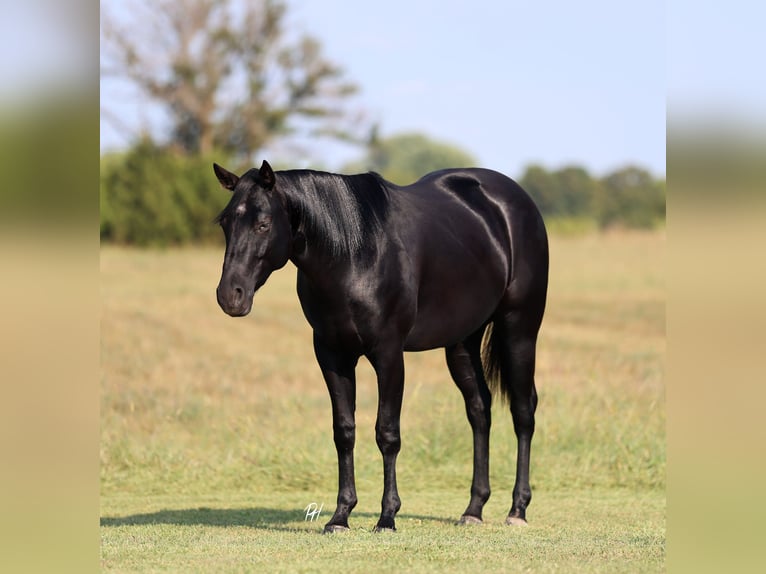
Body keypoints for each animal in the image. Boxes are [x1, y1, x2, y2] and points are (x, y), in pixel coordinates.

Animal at [213, 160, 548, 532]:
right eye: (225, 222)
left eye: (263, 223)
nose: (230, 296)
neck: (354, 254)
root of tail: (515, 201)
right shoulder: (332, 355)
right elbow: (344, 432)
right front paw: (340, 516)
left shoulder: (388, 355)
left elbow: (387, 433)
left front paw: (387, 516)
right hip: (462, 342)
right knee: (479, 410)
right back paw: (473, 508)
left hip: (519, 329)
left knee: (523, 411)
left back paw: (517, 509)